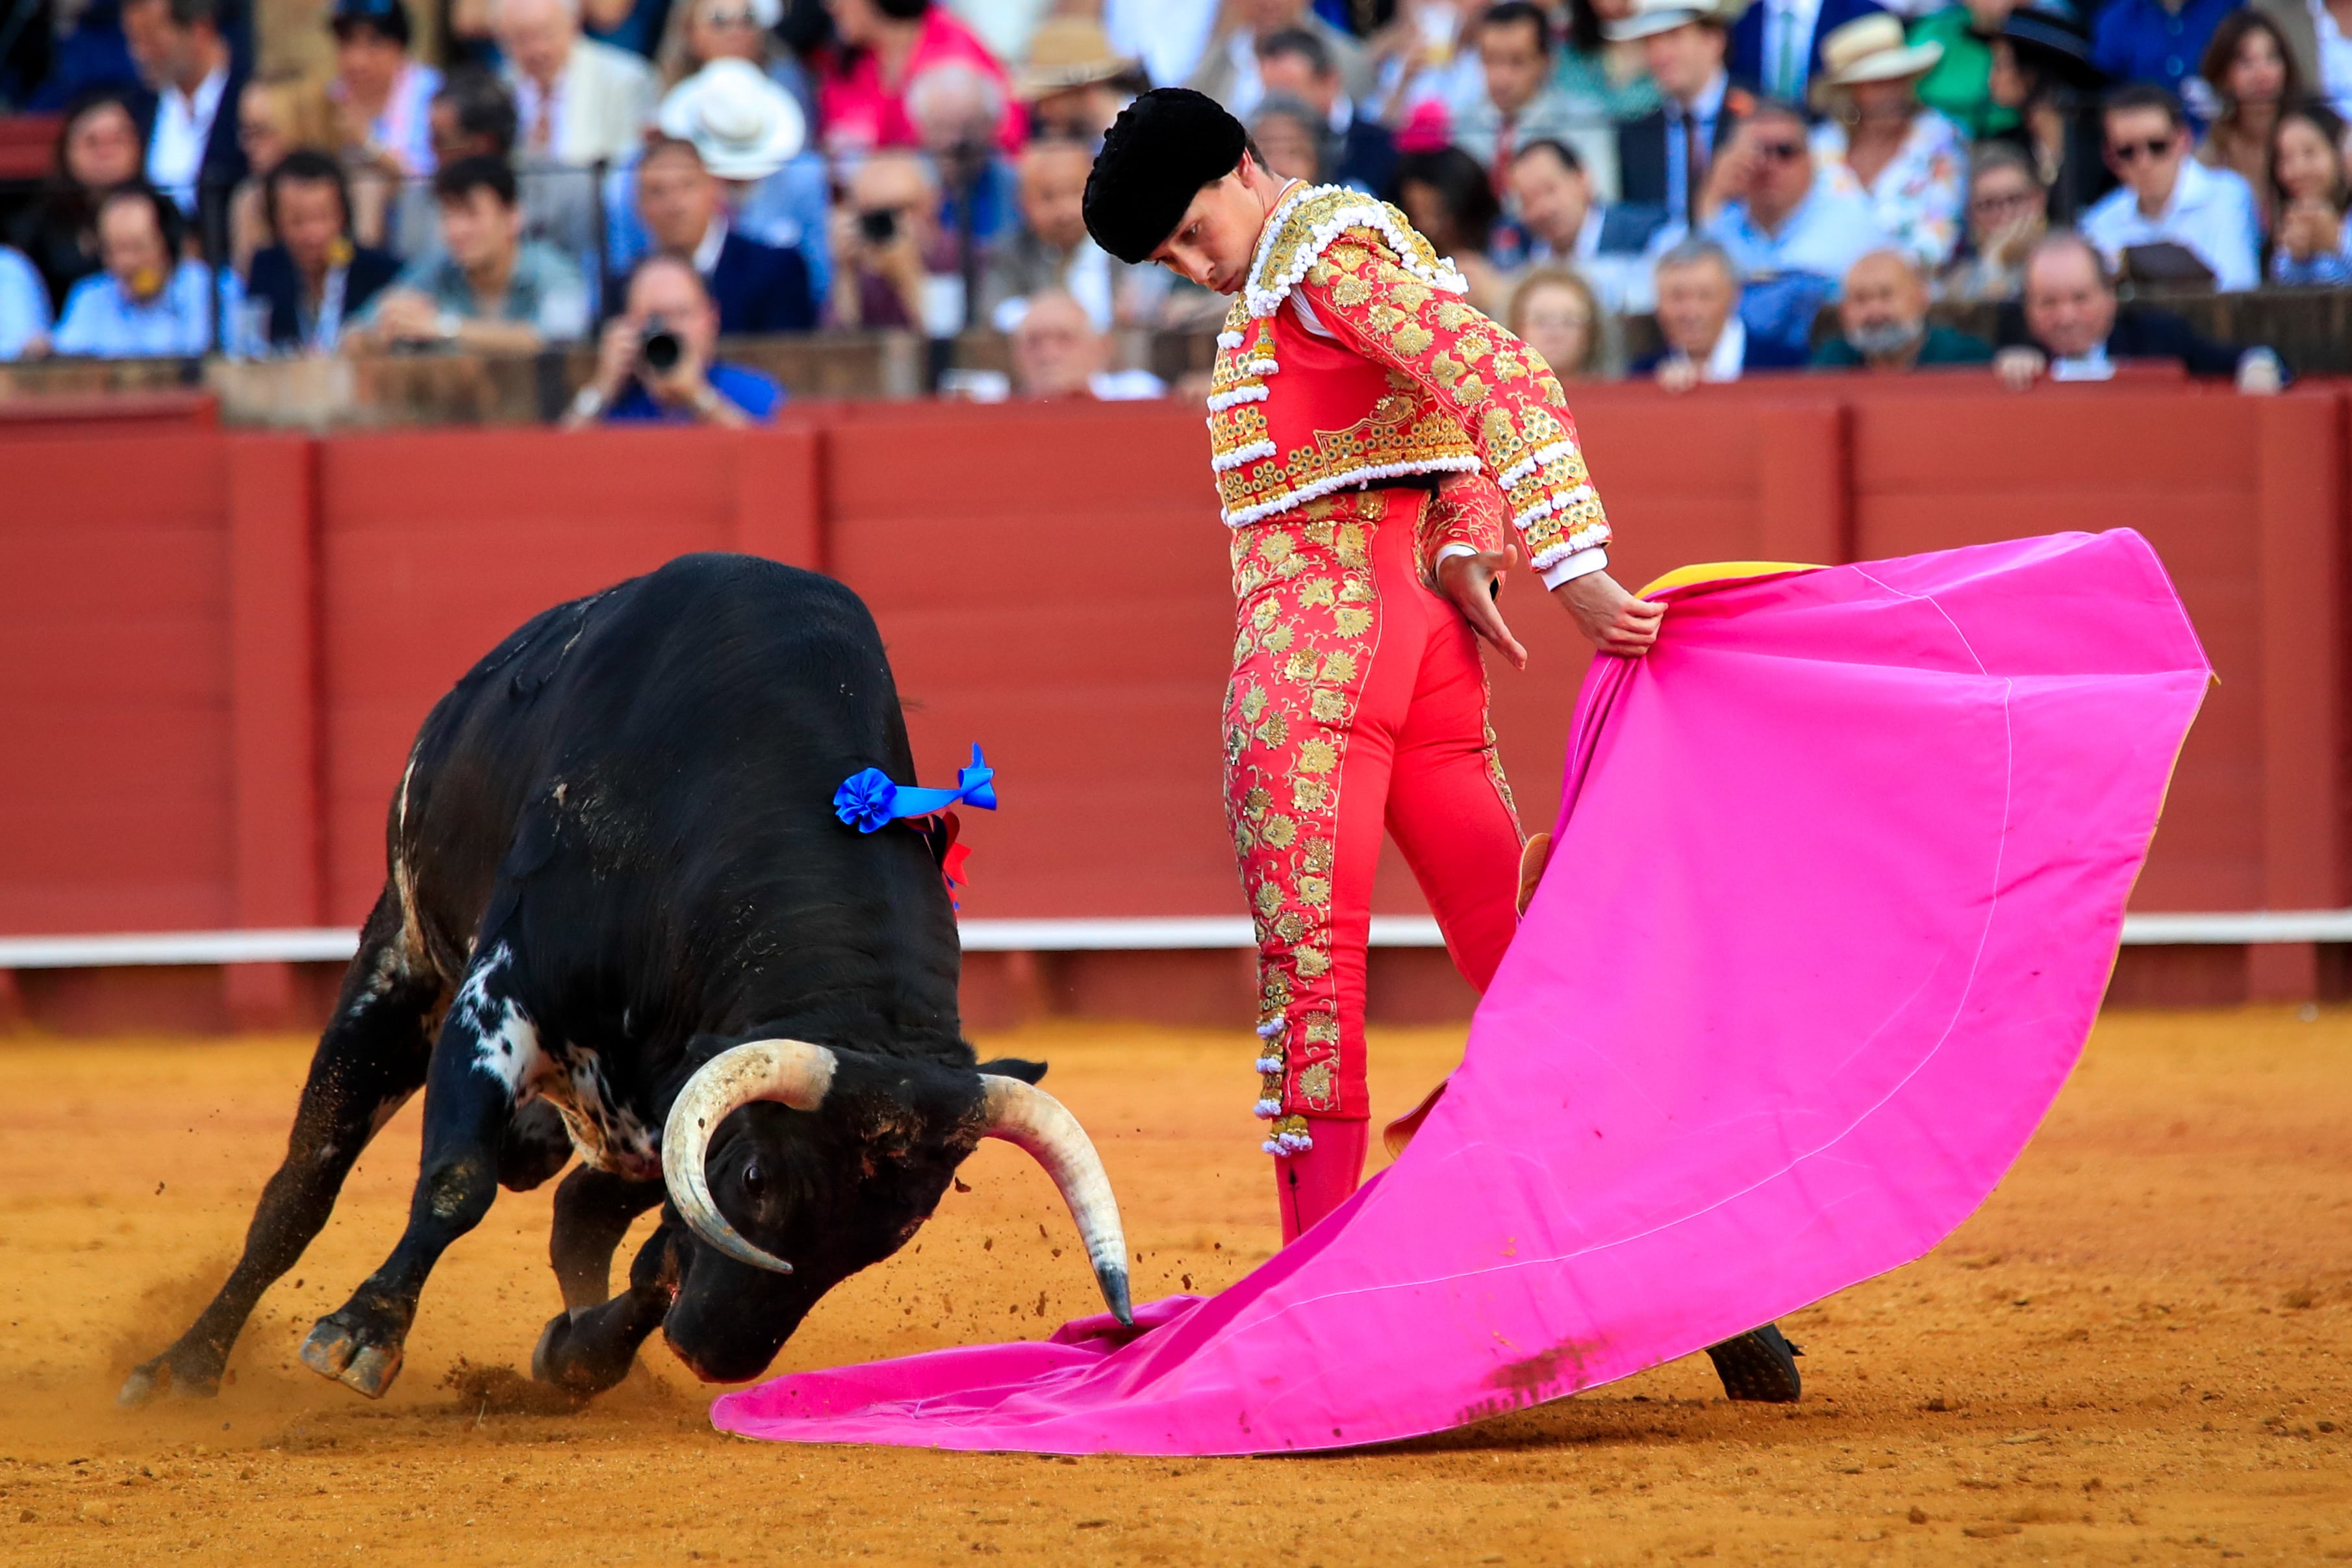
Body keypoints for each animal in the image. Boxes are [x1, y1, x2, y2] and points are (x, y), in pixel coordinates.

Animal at [124, 555, 1133, 1410]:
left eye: (895, 1232)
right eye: (760, 1176)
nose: (717, 1356)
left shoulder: (682, 1107)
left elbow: (664, 1253)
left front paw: (576, 1355)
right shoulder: (499, 1000)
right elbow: (458, 1180)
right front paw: (361, 1333)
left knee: (577, 1207)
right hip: (399, 964)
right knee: (302, 1184)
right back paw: (183, 1365)